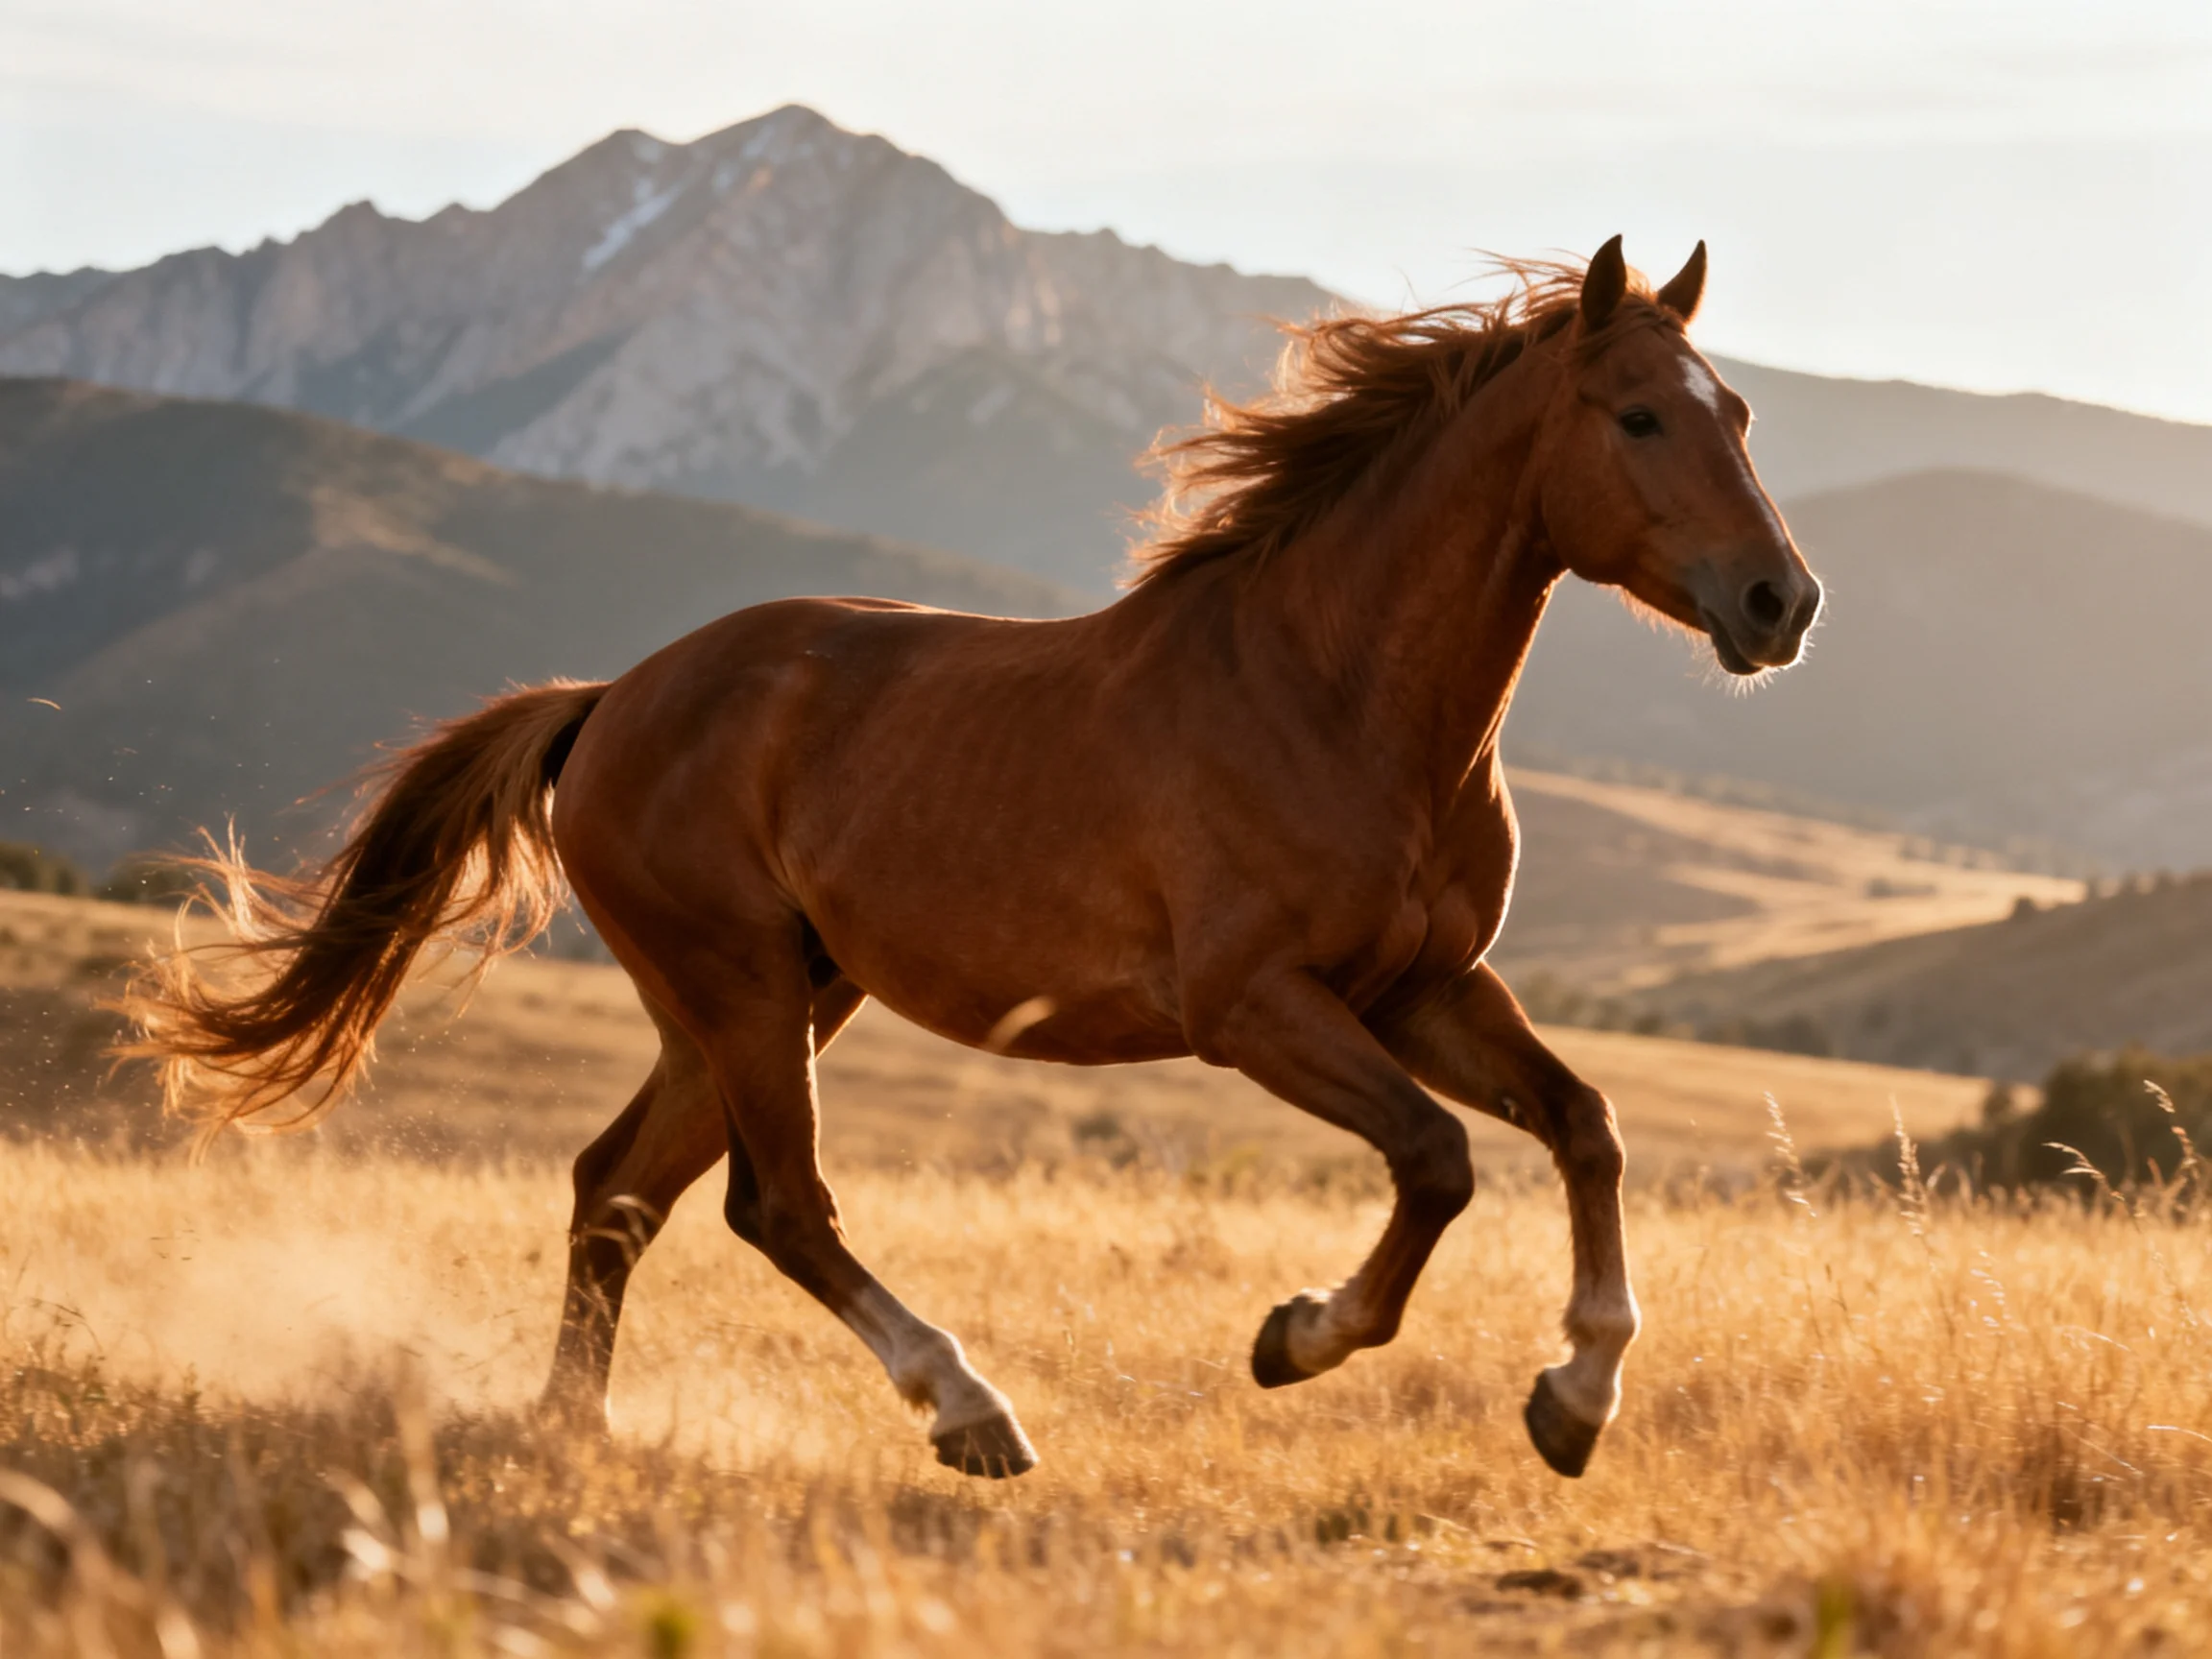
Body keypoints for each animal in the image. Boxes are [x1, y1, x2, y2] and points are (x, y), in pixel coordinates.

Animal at [124, 237, 1821, 1481]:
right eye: (1638, 415)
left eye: (1739, 414)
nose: (1779, 603)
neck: (1333, 698)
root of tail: (606, 701)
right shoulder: (1253, 1006)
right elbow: (1438, 1158)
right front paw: (1298, 1338)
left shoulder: (1427, 988)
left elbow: (1585, 1126)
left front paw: (1575, 1401)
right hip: (743, 989)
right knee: (777, 1208)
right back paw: (971, 1414)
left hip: (767, 999)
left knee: (619, 1192)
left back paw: (572, 1431)